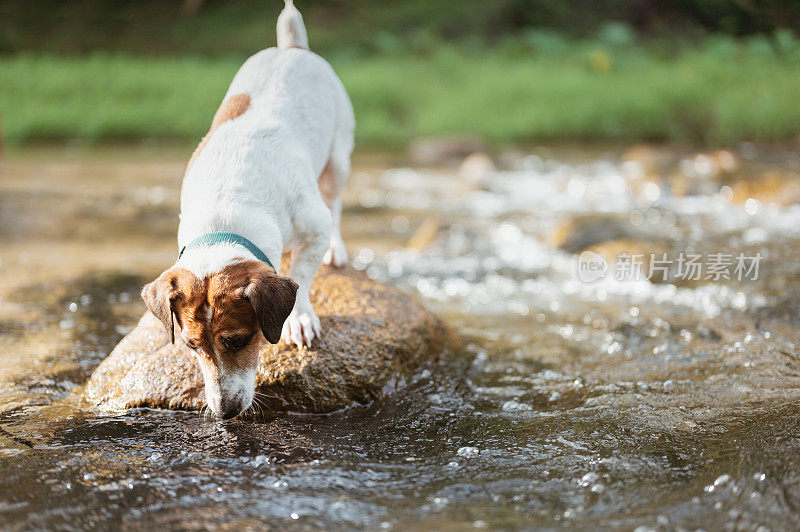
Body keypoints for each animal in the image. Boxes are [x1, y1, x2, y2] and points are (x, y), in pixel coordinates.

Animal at [142, 2, 354, 422]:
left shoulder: (313, 227)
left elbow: (301, 272)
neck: (227, 211)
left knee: (335, 203)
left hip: (338, 160)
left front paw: (299, 318)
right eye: (191, 346)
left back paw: (336, 250)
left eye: (239, 340)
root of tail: (291, 48)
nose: (224, 412)